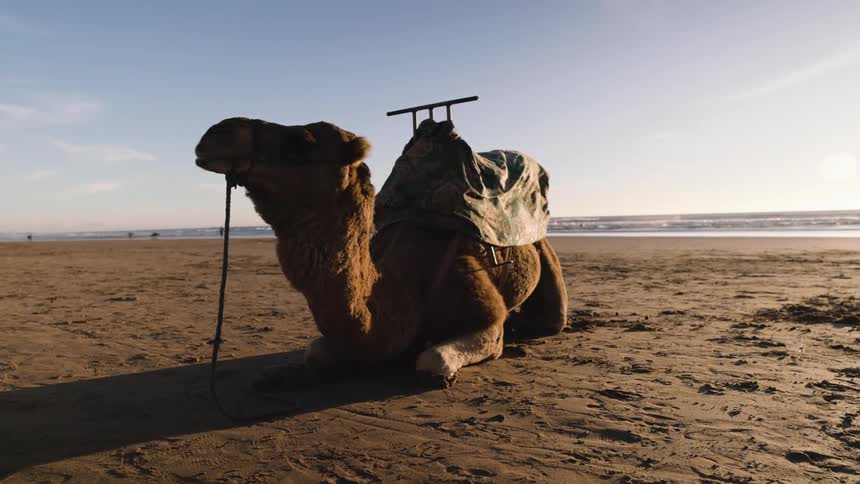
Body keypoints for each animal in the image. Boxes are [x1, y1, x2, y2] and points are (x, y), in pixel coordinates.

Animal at [194, 118, 568, 381]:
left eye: (302, 142)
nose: (216, 133)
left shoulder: (485, 315)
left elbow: (434, 358)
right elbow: (313, 352)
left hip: (544, 254)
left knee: (552, 317)